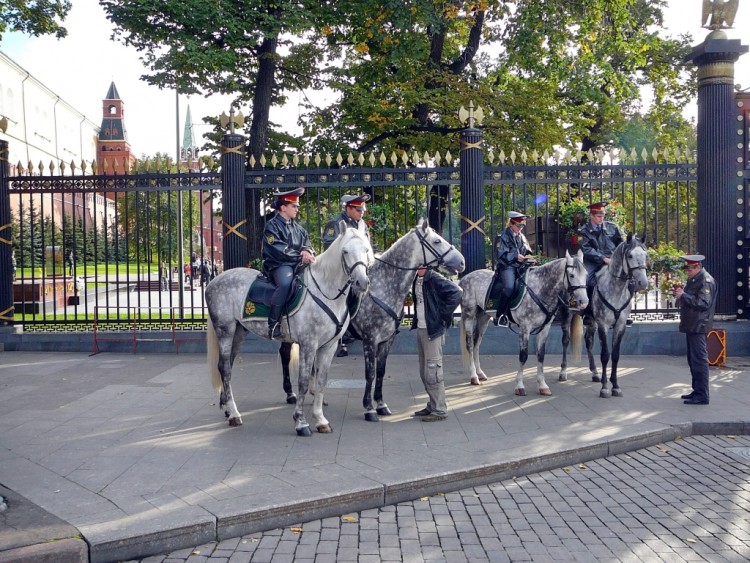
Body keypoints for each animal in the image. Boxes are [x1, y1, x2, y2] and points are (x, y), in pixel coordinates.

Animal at [206, 227, 374, 438]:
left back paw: (228, 408)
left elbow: (321, 381)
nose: (362, 282)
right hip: (225, 331)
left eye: (366, 249)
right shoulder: (308, 344)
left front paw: (320, 420)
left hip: (239, 332)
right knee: (225, 368)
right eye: (345, 251)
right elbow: (303, 382)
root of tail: (214, 281)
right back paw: (235, 414)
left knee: (226, 365)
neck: (325, 292)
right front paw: (301, 422)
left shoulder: (329, 346)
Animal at [458, 251, 592, 396]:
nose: (584, 302)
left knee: (477, 344)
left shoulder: (544, 328)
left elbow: (541, 355)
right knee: (470, 345)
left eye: (586, 274)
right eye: (571, 275)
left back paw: (480, 373)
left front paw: (542, 385)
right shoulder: (525, 328)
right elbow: (523, 356)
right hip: (469, 316)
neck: (540, 289)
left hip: (483, 318)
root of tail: (464, 278)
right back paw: (473, 376)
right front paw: (519, 386)